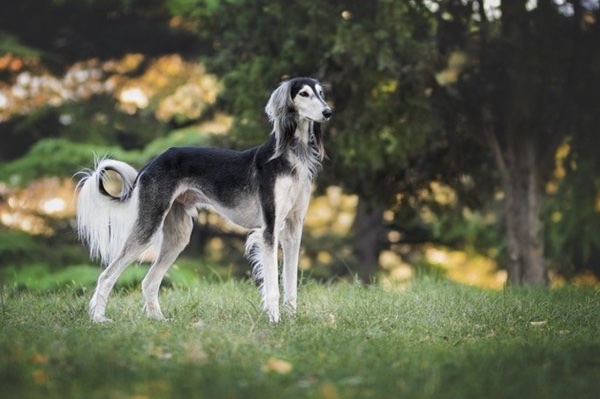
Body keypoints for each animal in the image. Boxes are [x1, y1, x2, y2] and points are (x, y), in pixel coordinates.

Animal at [76, 76, 332, 324]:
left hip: (178, 235)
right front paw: (274, 320)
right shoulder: (269, 229)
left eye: (321, 93)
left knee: (149, 281)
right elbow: (273, 286)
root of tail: (151, 163)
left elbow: (291, 283)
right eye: (303, 94)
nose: (328, 112)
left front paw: (292, 319)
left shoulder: (293, 229)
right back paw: (98, 318)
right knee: (106, 275)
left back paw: (158, 319)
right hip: (148, 225)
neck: (291, 155)